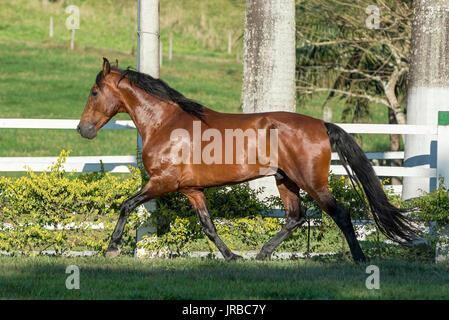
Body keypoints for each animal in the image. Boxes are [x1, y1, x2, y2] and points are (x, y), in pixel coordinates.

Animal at [76, 58, 412, 262]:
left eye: (93, 92)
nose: (83, 129)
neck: (165, 123)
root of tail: (321, 124)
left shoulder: (163, 182)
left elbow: (126, 205)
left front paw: (112, 248)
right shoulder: (192, 190)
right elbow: (208, 226)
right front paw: (232, 256)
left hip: (312, 182)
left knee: (339, 214)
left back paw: (360, 258)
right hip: (285, 180)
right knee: (295, 217)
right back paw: (262, 255)